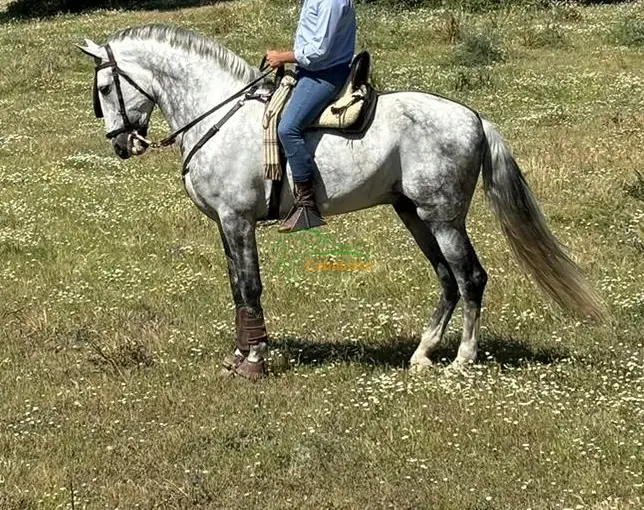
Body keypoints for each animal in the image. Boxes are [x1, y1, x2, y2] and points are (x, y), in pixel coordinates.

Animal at [77, 24, 607, 379]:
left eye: (104, 88)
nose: (120, 144)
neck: (219, 117)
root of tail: (474, 117)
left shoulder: (237, 220)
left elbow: (249, 288)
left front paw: (253, 361)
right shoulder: (225, 225)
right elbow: (237, 290)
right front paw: (240, 354)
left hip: (443, 217)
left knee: (470, 277)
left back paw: (461, 359)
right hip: (413, 214)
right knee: (446, 279)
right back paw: (422, 353)